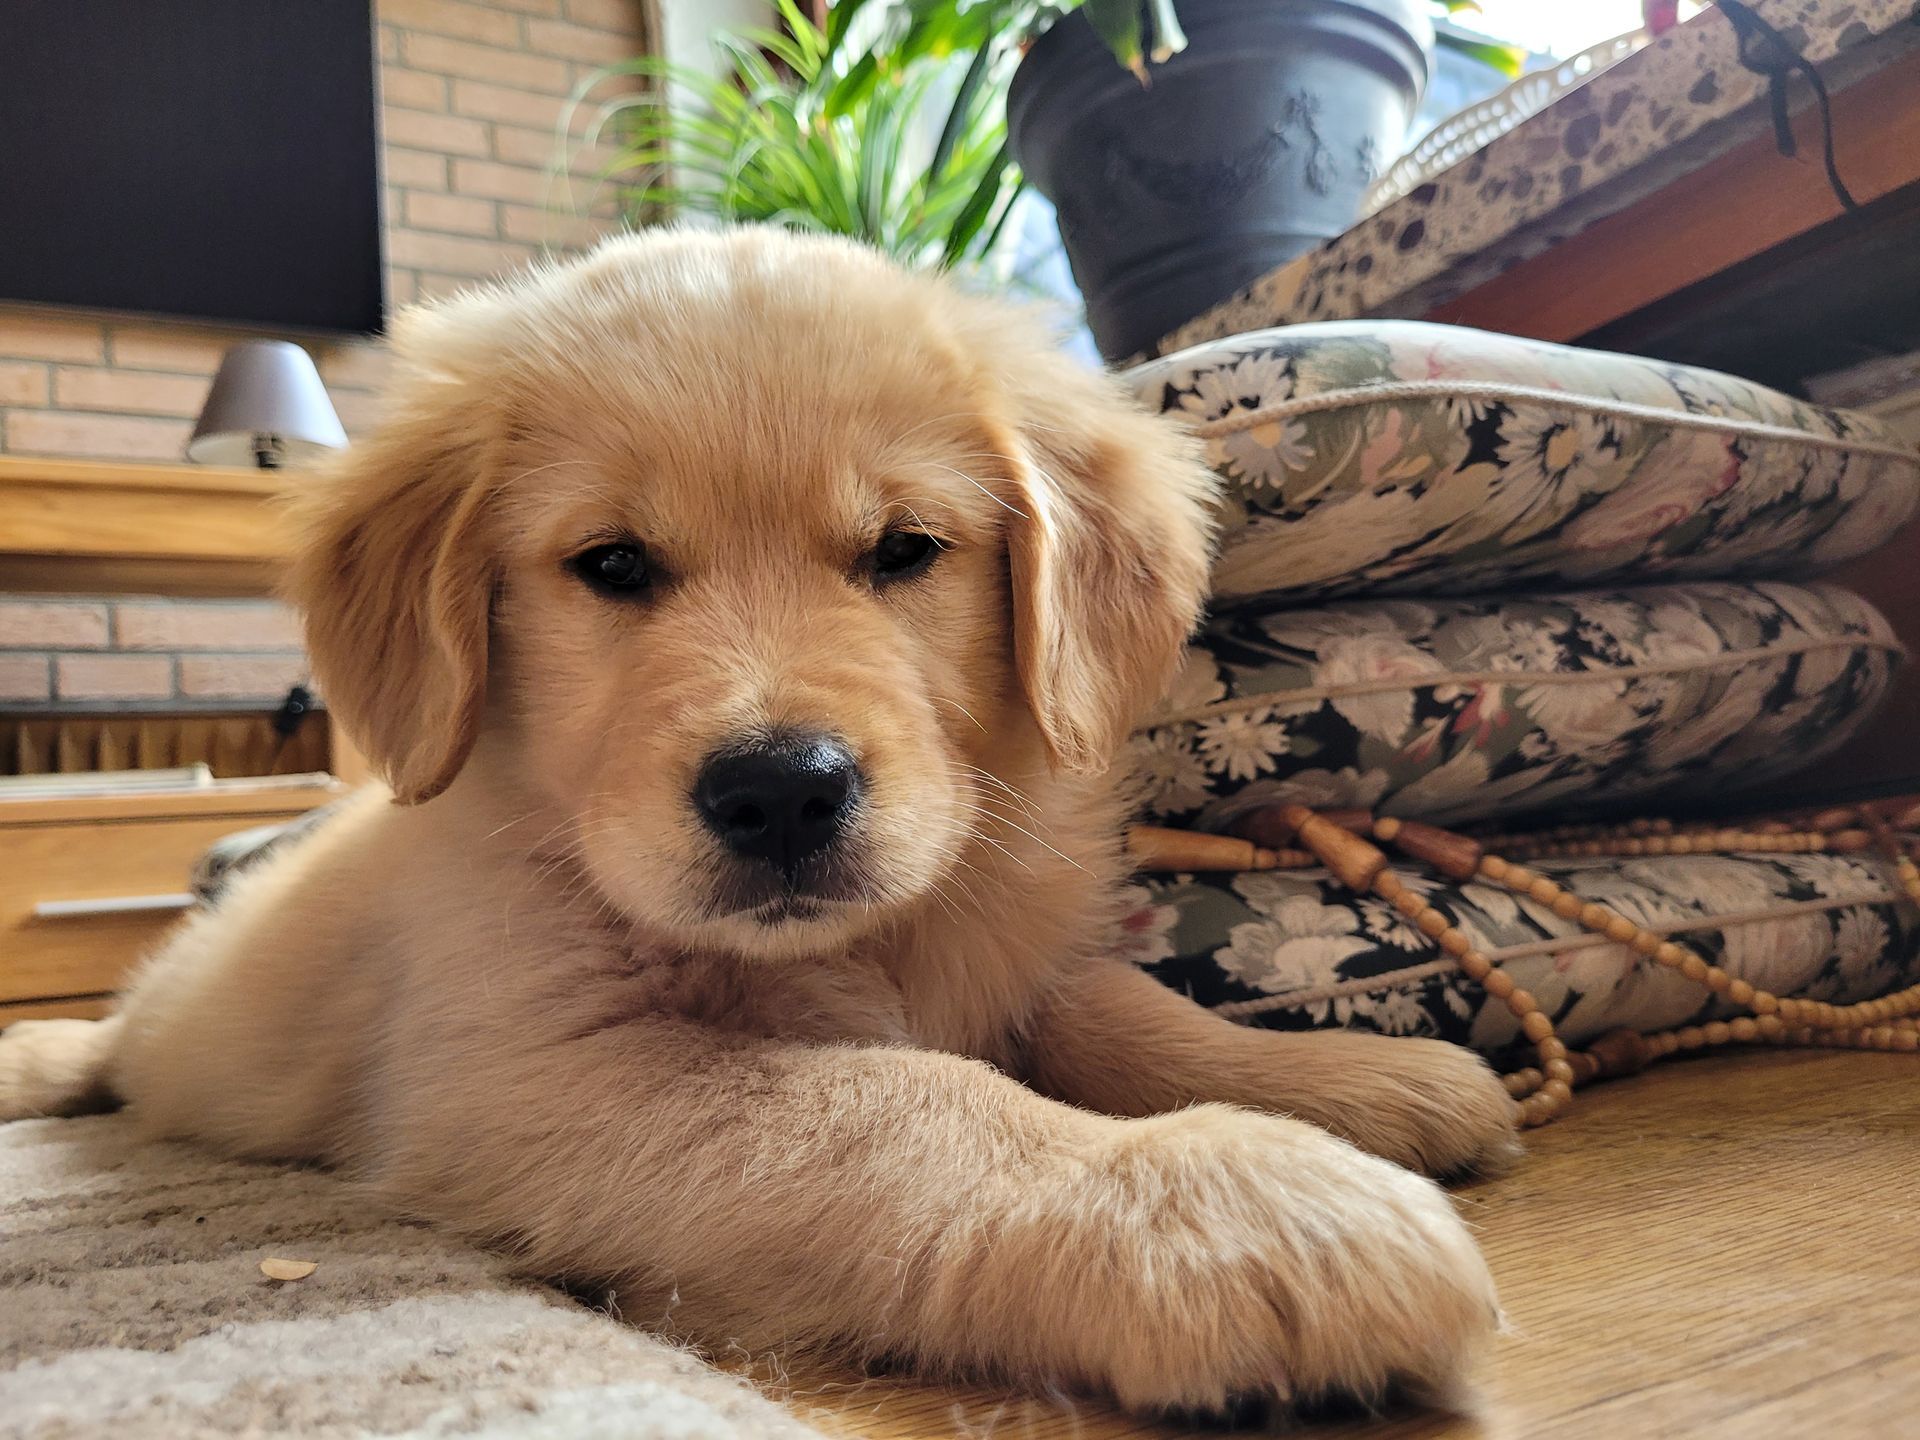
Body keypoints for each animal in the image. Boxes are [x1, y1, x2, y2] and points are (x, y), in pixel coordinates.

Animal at [0, 229, 1517, 1417]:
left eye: (904, 550)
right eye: (612, 565)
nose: (781, 789)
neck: (861, 951)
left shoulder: (1012, 950)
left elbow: (1117, 1008)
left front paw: (1347, 1082)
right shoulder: (538, 1075)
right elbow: (900, 1103)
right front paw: (1217, 1197)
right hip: (187, 1018)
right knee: (118, 1044)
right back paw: (45, 1065)